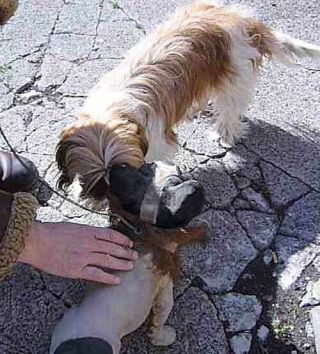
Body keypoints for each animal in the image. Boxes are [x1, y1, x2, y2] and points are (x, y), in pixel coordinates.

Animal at [50, 162, 205, 352]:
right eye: (177, 180)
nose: (196, 184)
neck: (139, 227)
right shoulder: (165, 285)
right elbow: (162, 315)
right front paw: (163, 336)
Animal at [55, 0, 320, 199]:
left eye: (121, 175)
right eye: (94, 177)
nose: (104, 196)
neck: (115, 109)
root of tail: (240, 17)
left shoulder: (155, 143)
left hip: (235, 74)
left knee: (230, 108)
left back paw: (225, 133)